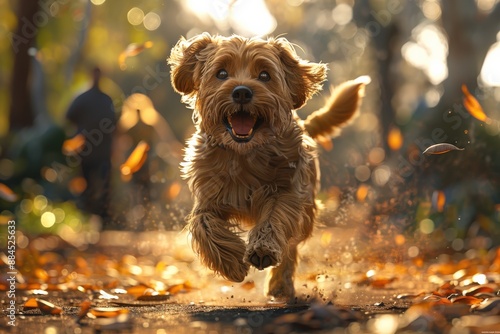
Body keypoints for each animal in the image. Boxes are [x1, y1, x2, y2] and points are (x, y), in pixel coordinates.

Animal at [168, 33, 368, 300]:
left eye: (264, 75)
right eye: (221, 73)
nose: (242, 92)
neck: (244, 154)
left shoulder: (288, 191)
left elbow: (275, 218)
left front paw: (262, 250)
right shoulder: (208, 199)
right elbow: (204, 226)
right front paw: (231, 263)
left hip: (306, 210)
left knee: (291, 247)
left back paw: (280, 284)